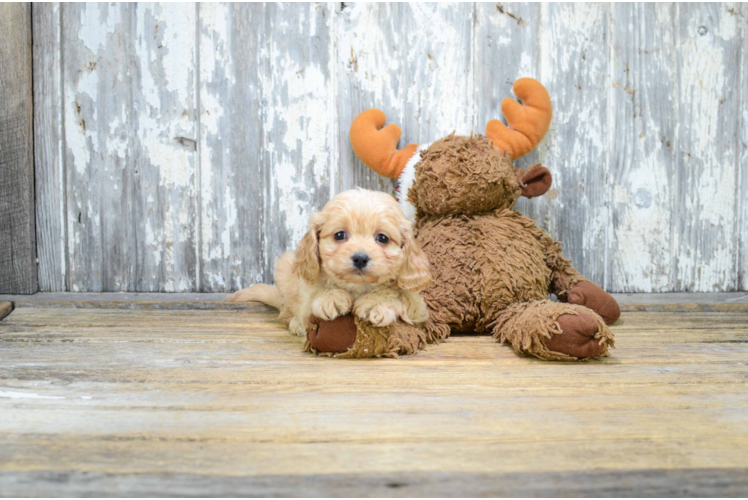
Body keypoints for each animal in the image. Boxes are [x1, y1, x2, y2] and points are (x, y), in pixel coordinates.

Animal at [225, 188, 430, 336]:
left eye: (382, 238)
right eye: (339, 235)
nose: (360, 258)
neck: (356, 287)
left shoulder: (417, 307)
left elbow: (396, 293)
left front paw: (375, 302)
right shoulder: (306, 295)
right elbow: (315, 295)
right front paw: (331, 296)